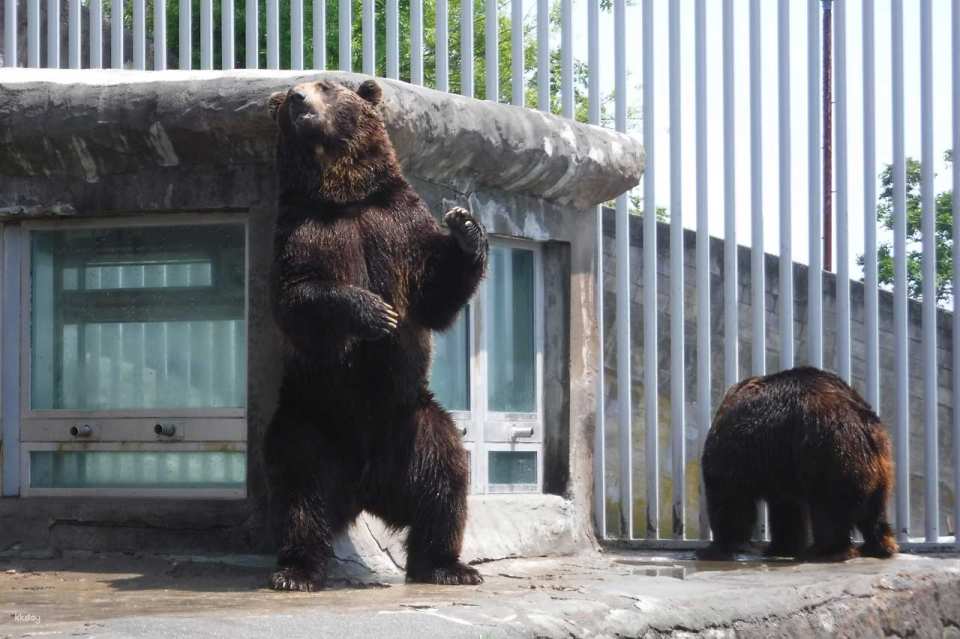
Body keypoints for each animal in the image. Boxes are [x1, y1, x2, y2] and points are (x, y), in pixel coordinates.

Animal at [263, 78, 488, 591]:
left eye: (326, 86)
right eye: (291, 92)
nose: (298, 99)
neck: (344, 197)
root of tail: (366, 487)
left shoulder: (398, 223)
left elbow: (434, 293)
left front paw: (466, 227)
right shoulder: (299, 229)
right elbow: (297, 295)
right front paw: (374, 312)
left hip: (412, 422)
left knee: (445, 477)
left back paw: (448, 565)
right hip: (310, 418)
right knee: (299, 487)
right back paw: (296, 569)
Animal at [696, 366, 898, 562]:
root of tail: (861, 424)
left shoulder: (738, 455)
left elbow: (730, 498)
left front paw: (718, 547)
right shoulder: (781, 466)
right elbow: (787, 508)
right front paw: (781, 546)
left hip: (830, 454)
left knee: (829, 508)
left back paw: (826, 550)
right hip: (879, 462)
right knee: (875, 510)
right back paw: (879, 545)